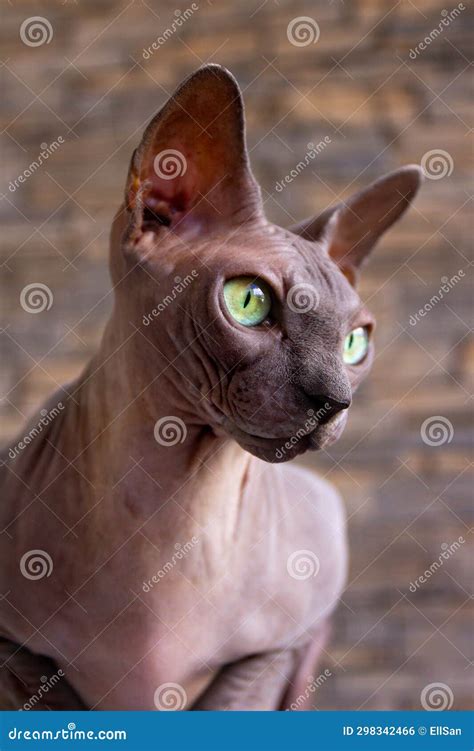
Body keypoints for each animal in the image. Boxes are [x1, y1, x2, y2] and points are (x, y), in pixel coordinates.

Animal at [0, 63, 422, 712]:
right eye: (248, 302)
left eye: (355, 342)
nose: (335, 400)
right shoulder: (18, 654)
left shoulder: (279, 647)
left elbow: (234, 703)